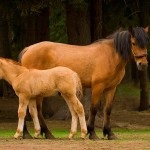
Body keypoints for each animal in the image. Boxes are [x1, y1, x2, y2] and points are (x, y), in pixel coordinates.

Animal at [18, 26, 149, 140]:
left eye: (146, 43)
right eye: (133, 43)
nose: (143, 64)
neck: (110, 56)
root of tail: (28, 49)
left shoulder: (112, 88)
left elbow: (107, 110)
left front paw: (110, 133)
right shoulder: (97, 87)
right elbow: (93, 108)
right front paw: (92, 133)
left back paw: (44, 133)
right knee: (31, 109)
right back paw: (28, 134)